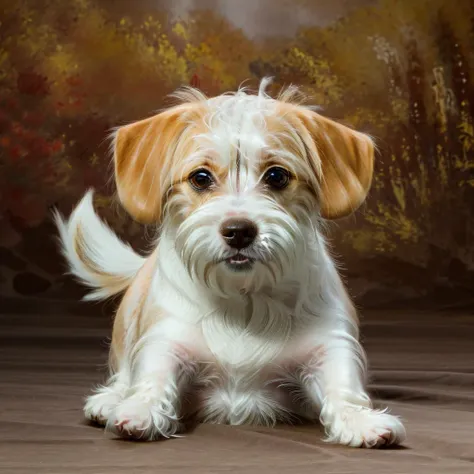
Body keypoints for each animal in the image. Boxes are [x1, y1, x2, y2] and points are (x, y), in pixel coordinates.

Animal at [54, 78, 404, 448]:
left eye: (277, 176)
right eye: (200, 177)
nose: (239, 231)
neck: (244, 299)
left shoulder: (331, 343)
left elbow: (343, 384)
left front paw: (359, 418)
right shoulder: (165, 339)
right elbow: (152, 374)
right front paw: (141, 408)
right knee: (123, 371)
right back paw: (111, 399)